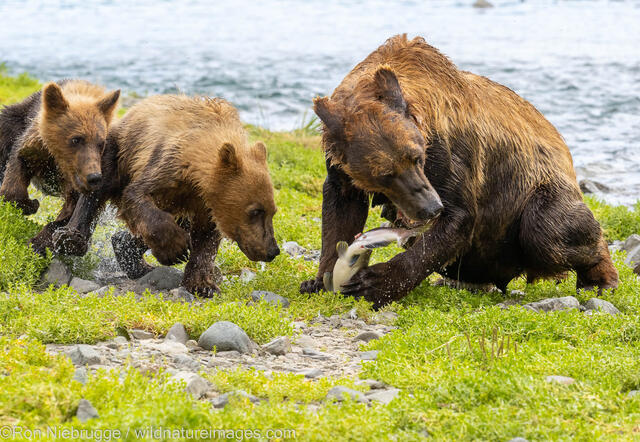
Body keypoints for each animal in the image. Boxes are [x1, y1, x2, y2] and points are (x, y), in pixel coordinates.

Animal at [302, 34, 616, 308]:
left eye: (417, 158)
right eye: (384, 175)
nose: (431, 208)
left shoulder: (451, 152)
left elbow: (458, 217)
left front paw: (374, 283)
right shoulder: (340, 167)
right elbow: (340, 214)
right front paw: (319, 280)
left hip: (538, 192)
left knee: (546, 231)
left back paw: (599, 280)